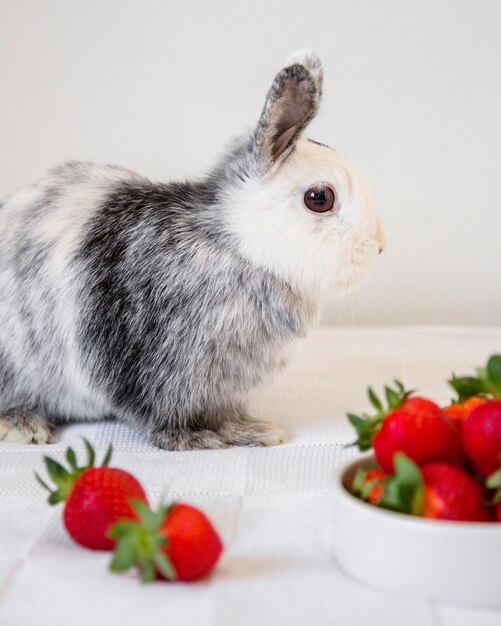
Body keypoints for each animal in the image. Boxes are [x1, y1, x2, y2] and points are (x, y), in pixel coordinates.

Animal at [0, 50, 384, 448]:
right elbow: (160, 418)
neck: (232, 246)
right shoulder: (144, 362)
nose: (380, 247)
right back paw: (22, 426)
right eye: (319, 198)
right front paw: (199, 440)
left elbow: (224, 413)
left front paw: (251, 430)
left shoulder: (223, 388)